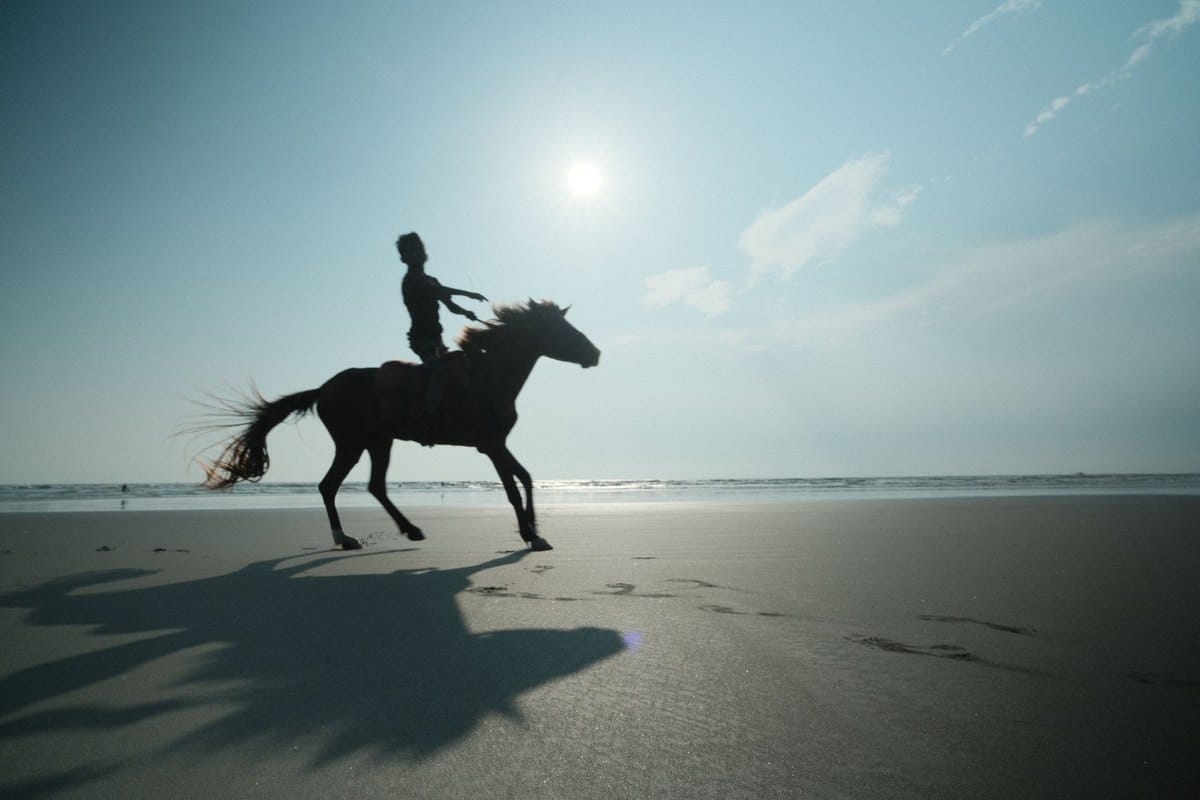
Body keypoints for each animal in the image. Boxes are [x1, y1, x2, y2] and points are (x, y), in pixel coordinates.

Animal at [200, 300, 600, 551]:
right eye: (563, 329)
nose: (595, 353)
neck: (488, 376)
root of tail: (323, 389)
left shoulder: (496, 444)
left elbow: (526, 478)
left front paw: (534, 532)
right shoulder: (491, 445)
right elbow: (513, 488)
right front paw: (530, 535)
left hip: (379, 442)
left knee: (373, 486)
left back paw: (407, 530)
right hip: (352, 444)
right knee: (330, 485)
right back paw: (345, 537)